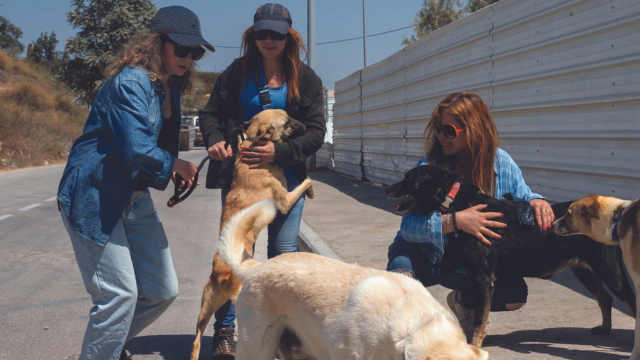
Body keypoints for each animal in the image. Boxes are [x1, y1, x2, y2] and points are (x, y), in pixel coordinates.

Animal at [190, 109, 316, 360]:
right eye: (287, 122)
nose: (305, 126)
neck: (254, 145)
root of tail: (223, 272)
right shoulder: (284, 201)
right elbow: (307, 181)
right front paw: (312, 191)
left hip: (205, 308)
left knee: (196, 340)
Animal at [384, 165, 636, 348]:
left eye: (408, 178)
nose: (388, 189)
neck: (451, 200)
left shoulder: (483, 277)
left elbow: (480, 319)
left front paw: (475, 345)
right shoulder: (475, 275)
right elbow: (477, 312)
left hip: (610, 271)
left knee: (630, 302)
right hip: (585, 270)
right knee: (605, 298)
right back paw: (604, 328)